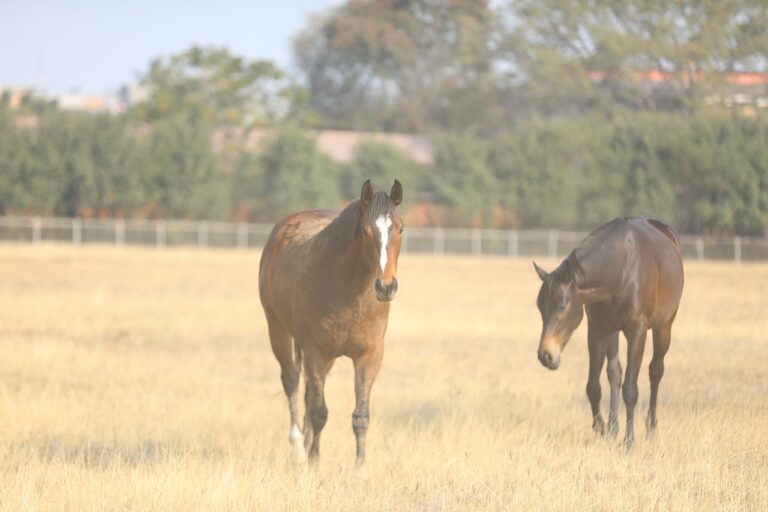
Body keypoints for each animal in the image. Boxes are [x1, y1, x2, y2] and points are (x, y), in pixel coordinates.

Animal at [260, 179, 404, 464]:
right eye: (365, 231)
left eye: (400, 228)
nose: (386, 286)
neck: (351, 291)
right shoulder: (317, 352)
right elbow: (319, 412)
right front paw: (314, 462)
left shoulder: (369, 357)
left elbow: (361, 417)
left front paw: (361, 468)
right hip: (278, 332)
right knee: (291, 382)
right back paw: (299, 447)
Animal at [536, 218, 684, 446]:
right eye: (539, 306)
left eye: (562, 305)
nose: (546, 355)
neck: (621, 269)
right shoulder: (598, 329)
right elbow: (594, 386)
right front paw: (602, 429)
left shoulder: (637, 331)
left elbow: (630, 389)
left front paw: (629, 441)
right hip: (613, 331)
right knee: (614, 372)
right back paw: (614, 426)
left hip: (664, 325)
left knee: (656, 371)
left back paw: (651, 428)